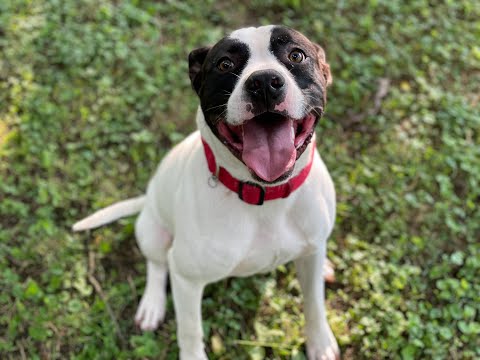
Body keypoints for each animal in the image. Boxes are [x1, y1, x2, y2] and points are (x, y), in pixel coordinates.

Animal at [73, 26, 340, 360]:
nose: (264, 82)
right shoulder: (187, 279)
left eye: (296, 55)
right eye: (225, 64)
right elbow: (190, 330)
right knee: (157, 265)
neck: (264, 196)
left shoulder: (312, 252)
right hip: (153, 233)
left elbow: (314, 302)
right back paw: (152, 305)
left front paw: (320, 341)